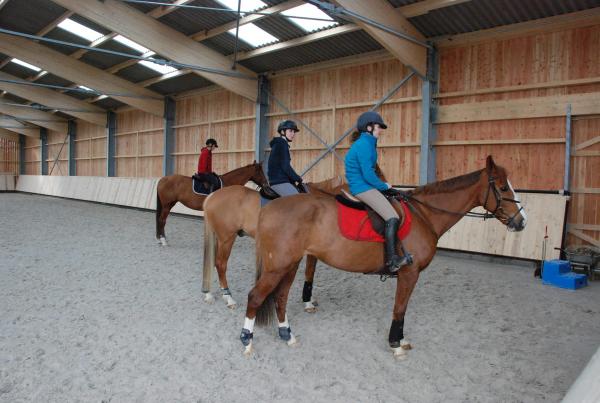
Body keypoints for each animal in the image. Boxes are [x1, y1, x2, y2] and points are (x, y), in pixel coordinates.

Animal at [200, 177, 342, 310]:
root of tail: (213, 195)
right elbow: (310, 272)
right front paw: (308, 302)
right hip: (227, 239)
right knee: (221, 264)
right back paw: (229, 298)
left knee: (212, 262)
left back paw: (209, 295)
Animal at [241, 157, 528, 360]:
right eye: (503, 187)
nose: (522, 221)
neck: (424, 215)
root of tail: (271, 207)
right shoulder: (409, 273)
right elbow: (399, 308)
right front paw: (395, 344)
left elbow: (403, 309)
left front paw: (401, 340)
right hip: (278, 266)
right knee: (255, 296)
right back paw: (247, 341)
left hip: (289, 264)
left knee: (280, 296)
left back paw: (287, 335)